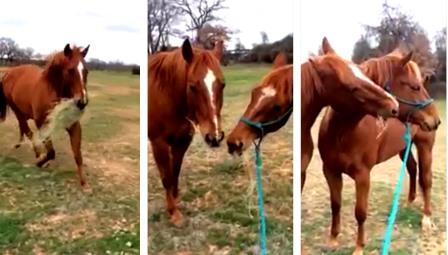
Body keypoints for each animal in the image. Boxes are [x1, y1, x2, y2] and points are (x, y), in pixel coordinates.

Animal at [0, 44, 90, 186]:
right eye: (70, 70)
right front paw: (40, 162)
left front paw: (84, 183)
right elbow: (51, 152)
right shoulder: (43, 123)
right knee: (27, 130)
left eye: (86, 70)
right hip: (16, 110)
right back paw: (37, 153)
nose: (82, 102)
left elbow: (77, 153)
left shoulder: (73, 125)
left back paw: (21, 144)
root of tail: (9, 72)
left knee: (23, 128)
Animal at [150, 37, 226, 225]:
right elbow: (166, 178)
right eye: (192, 86)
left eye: (223, 85)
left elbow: (175, 174)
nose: (214, 137)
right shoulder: (159, 144)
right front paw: (173, 212)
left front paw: (176, 204)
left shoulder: (183, 141)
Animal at [318, 48, 440, 254]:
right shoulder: (330, 171)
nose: (436, 120)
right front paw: (333, 239)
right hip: (404, 148)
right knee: (412, 168)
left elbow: (360, 212)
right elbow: (335, 204)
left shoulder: (363, 175)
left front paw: (359, 247)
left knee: (427, 179)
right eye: (414, 87)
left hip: (425, 146)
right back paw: (409, 202)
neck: (341, 133)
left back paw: (426, 219)